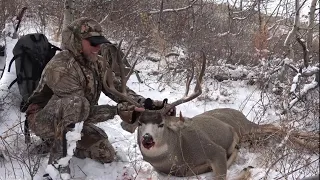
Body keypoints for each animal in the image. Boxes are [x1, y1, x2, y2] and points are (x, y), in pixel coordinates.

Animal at [102, 47, 318, 179]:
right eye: (140, 123)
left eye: (161, 124)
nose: (147, 139)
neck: (179, 155)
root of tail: (238, 112)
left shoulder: (215, 150)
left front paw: (246, 170)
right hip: (249, 135)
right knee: (274, 129)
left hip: (246, 128)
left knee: (276, 127)